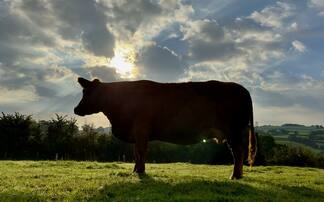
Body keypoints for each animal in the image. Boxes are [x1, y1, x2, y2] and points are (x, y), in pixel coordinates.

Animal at [74, 77, 256, 178]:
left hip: (233, 131)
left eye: (87, 92)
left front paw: (140, 172)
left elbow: (141, 152)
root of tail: (243, 89)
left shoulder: (141, 130)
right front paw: (135, 170)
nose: (76, 109)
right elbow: (136, 153)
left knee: (238, 152)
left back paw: (235, 176)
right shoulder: (136, 134)